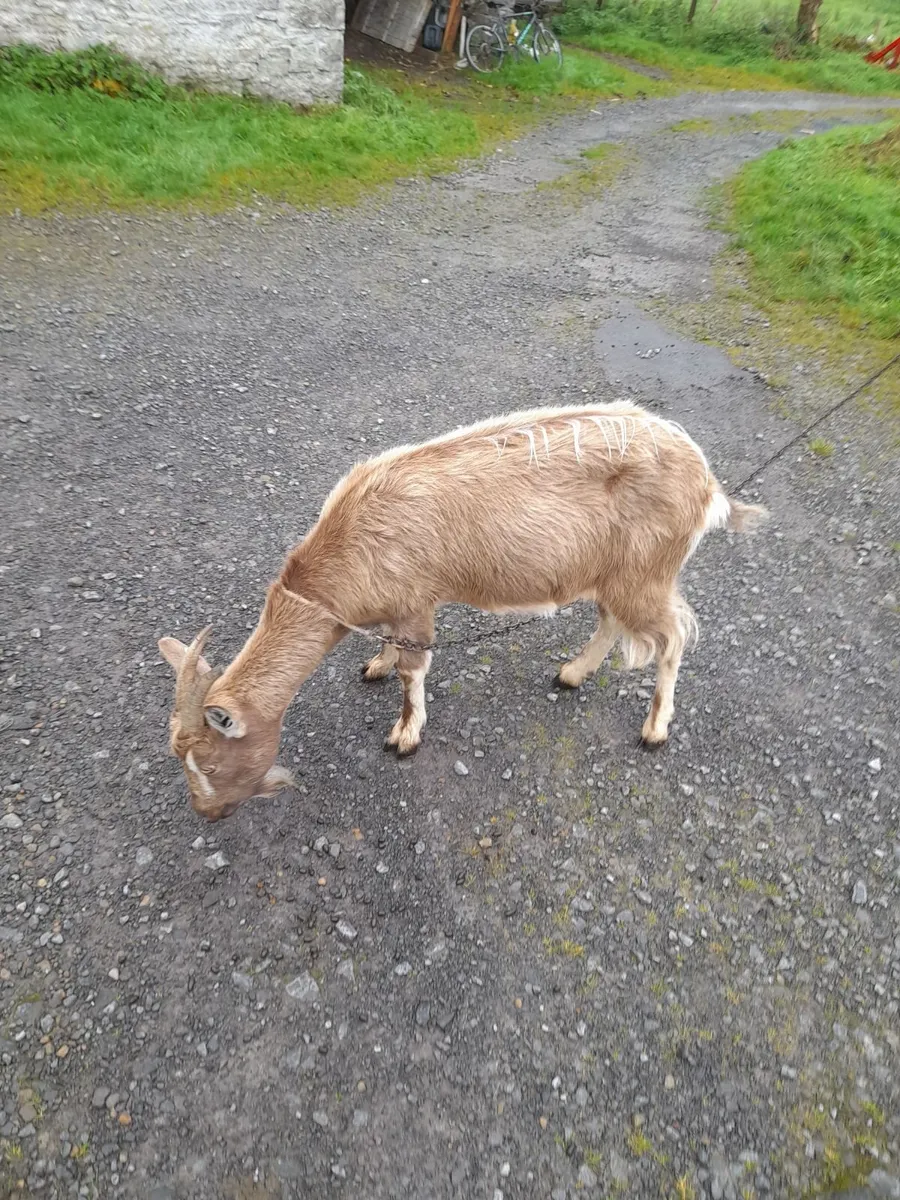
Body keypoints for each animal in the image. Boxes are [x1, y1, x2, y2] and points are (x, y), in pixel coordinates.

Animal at [159, 402, 766, 820]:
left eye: (208, 762)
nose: (207, 814)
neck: (350, 543)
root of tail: (709, 486)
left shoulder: (416, 602)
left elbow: (414, 670)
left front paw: (404, 736)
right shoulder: (397, 606)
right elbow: (391, 648)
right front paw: (375, 666)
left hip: (646, 572)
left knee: (673, 636)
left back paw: (654, 727)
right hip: (615, 571)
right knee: (613, 620)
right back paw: (571, 674)